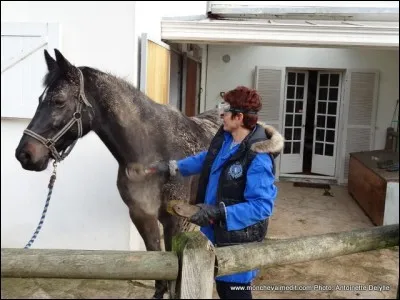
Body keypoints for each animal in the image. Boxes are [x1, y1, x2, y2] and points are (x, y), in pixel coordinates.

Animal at [14, 48, 284, 298]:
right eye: (40, 98)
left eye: (59, 101)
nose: (24, 154)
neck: (149, 151)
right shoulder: (142, 215)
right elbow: (159, 266)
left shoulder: (173, 219)